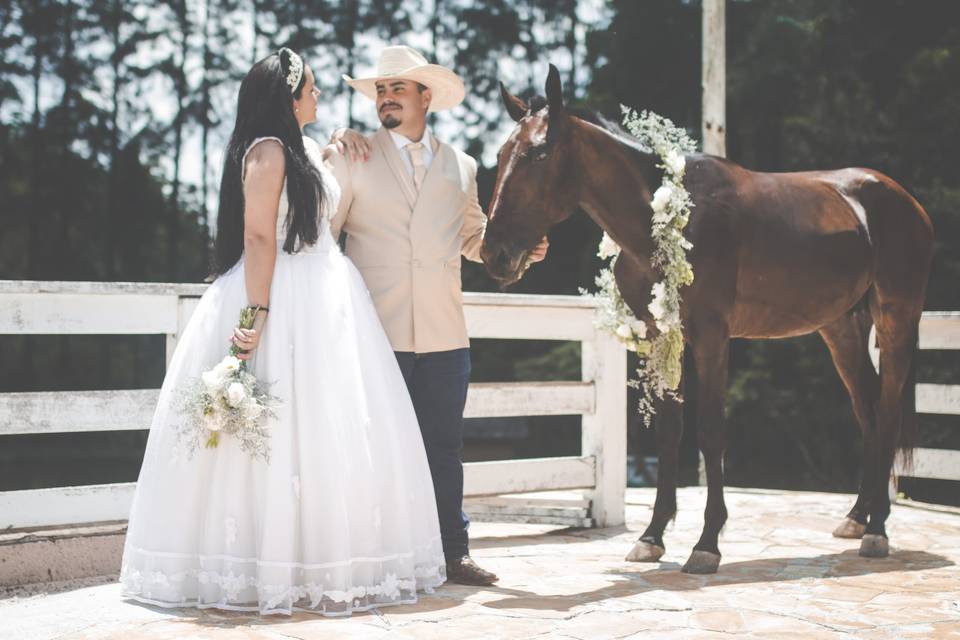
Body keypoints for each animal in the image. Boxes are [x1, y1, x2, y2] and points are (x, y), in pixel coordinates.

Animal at [484, 65, 932, 576]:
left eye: (538, 153)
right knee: (869, 413)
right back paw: (859, 517)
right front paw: (652, 536)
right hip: (840, 329)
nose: (495, 253)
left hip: (896, 319)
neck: (668, 216)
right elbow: (669, 431)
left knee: (888, 411)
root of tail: (905, 201)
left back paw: (877, 530)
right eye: (501, 154)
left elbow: (710, 430)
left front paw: (707, 543)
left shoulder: (712, 335)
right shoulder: (662, 335)